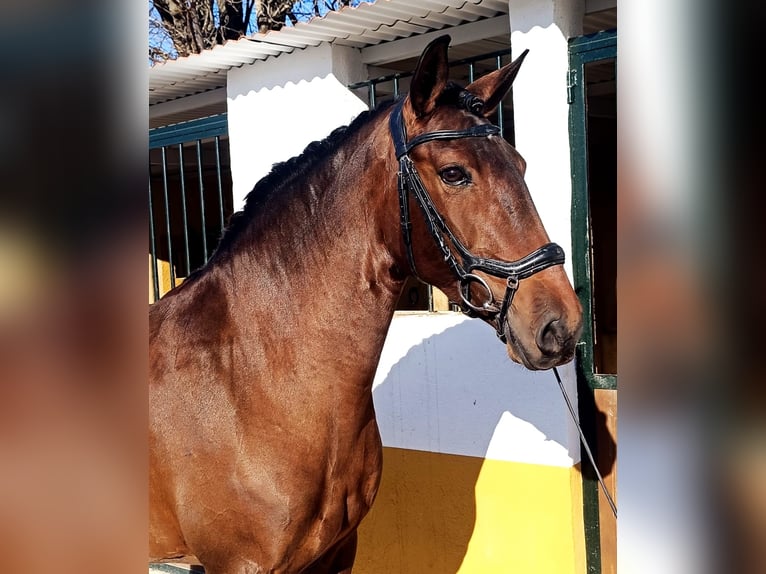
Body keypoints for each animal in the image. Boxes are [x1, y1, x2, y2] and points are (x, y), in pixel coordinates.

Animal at [148, 36, 584, 574]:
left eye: (520, 166)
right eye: (454, 173)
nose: (560, 324)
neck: (251, 376)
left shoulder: (337, 553)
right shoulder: (240, 564)